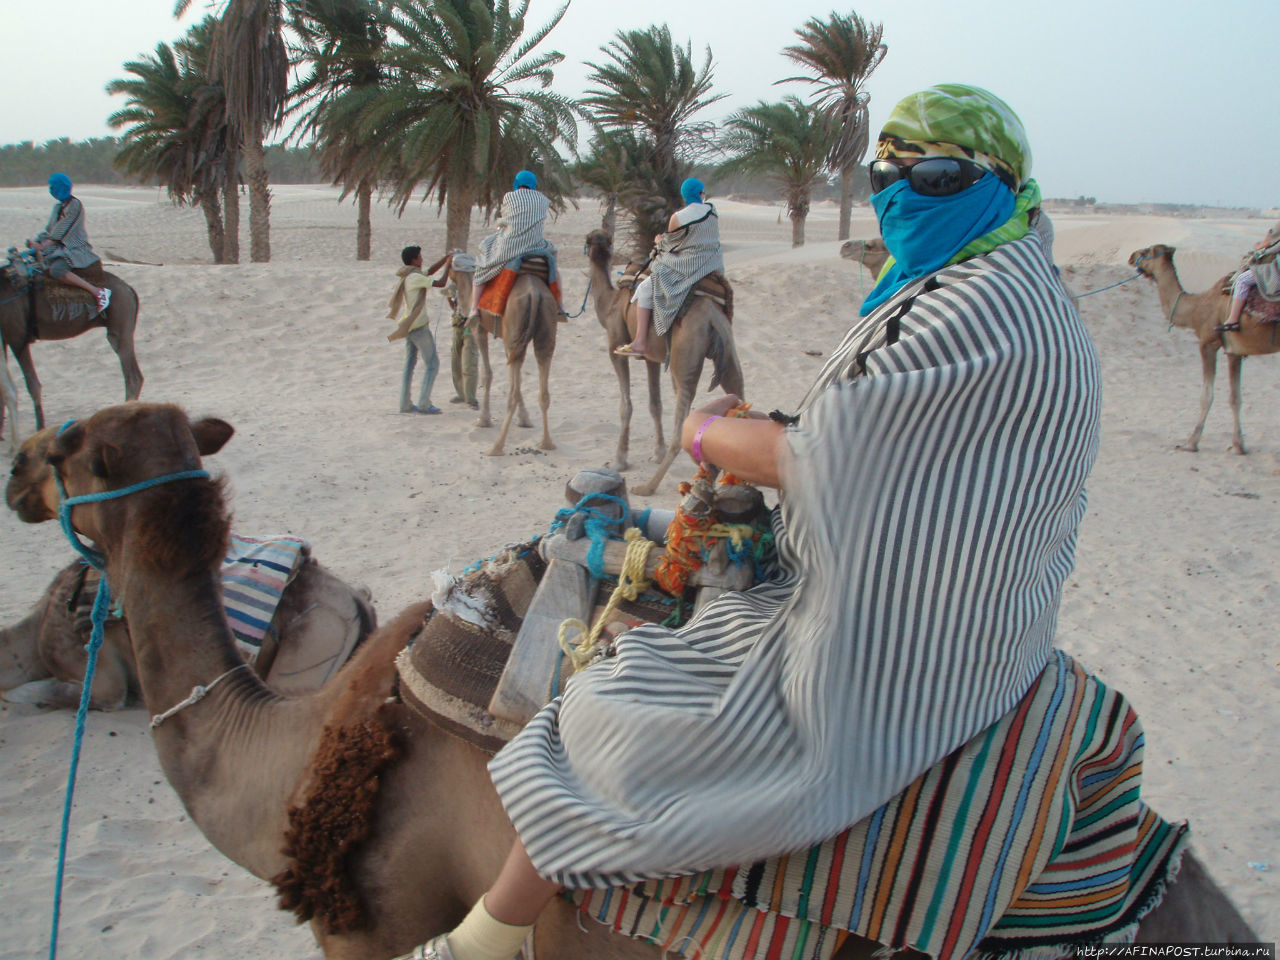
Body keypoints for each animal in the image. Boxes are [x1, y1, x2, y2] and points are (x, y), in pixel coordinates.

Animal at [0, 268, 145, 437]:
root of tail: (129, 289)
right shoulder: (4, 340)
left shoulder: (17, 338)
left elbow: (32, 385)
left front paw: (40, 430)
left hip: (120, 323)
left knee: (132, 376)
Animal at [1, 427, 373, 706]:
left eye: (39, 456)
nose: (12, 478)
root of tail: (356, 599)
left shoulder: (99, 677)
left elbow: (42, 692)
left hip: (312, 640)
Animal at [586, 231, 747, 496]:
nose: (596, 242)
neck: (610, 302)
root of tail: (712, 317)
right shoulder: (651, 357)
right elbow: (655, 404)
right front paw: (656, 452)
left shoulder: (615, 345)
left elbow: (626, 405)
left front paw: (619, 460)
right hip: (728, 351)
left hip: (685, 357)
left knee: (682, 426)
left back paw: (648, 486)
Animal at [1131, 244, 1280, 455]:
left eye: (1145, 252)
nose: (1131, 256)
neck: (1196, 307)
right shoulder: (1234, 351)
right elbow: (1235, 398)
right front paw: (1238, 445)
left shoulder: (1208, 343)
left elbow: (1206, 396)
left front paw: (1190, 443)